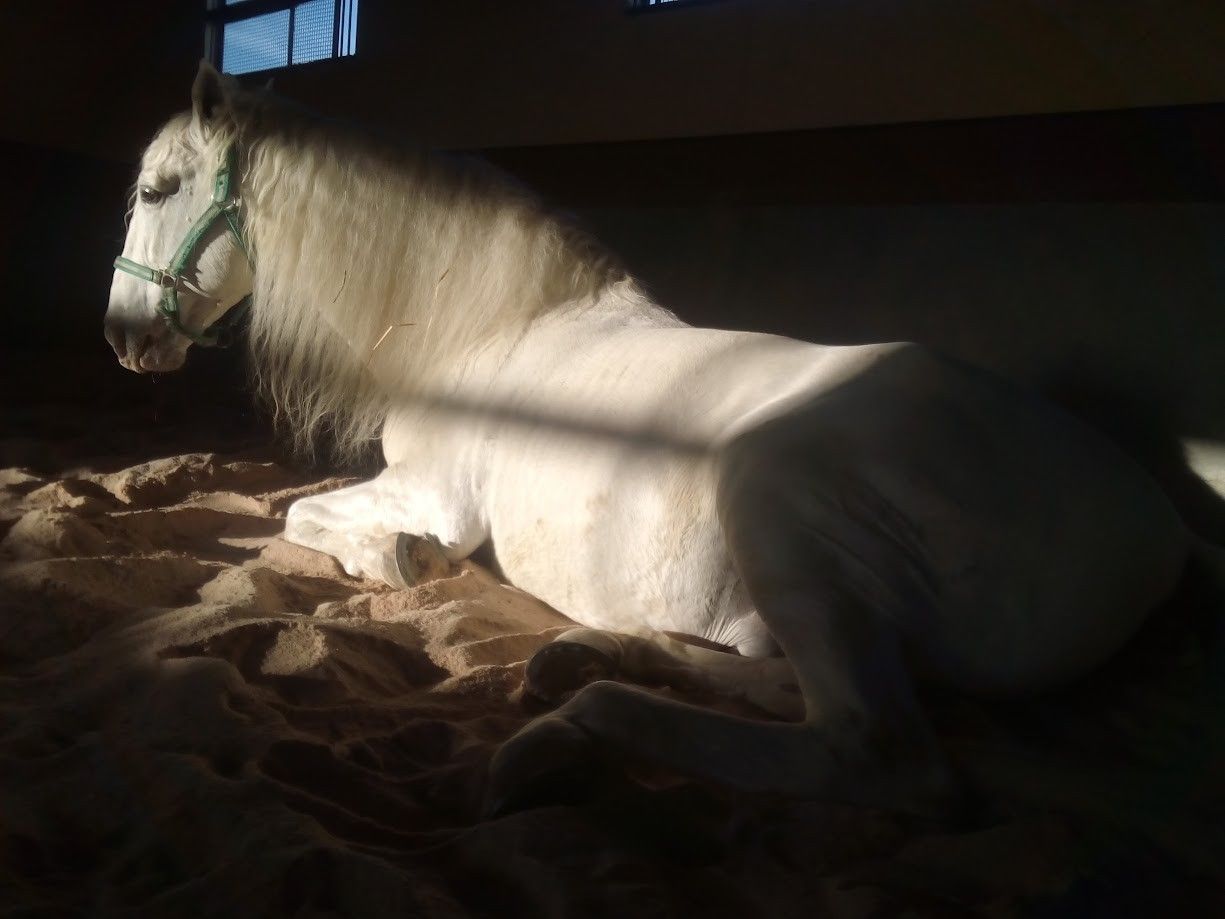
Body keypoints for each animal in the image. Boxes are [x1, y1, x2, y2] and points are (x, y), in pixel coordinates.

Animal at [105, 62, 1216, 817]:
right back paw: (584, 658)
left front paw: (397, 560)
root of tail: (1155, 536)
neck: (494, 324)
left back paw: (563, 733)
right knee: (778, 677)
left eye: (159, 189)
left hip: (770, 500)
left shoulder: (434, 493)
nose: (124, 335)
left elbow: (305, 514)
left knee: (867, 747)